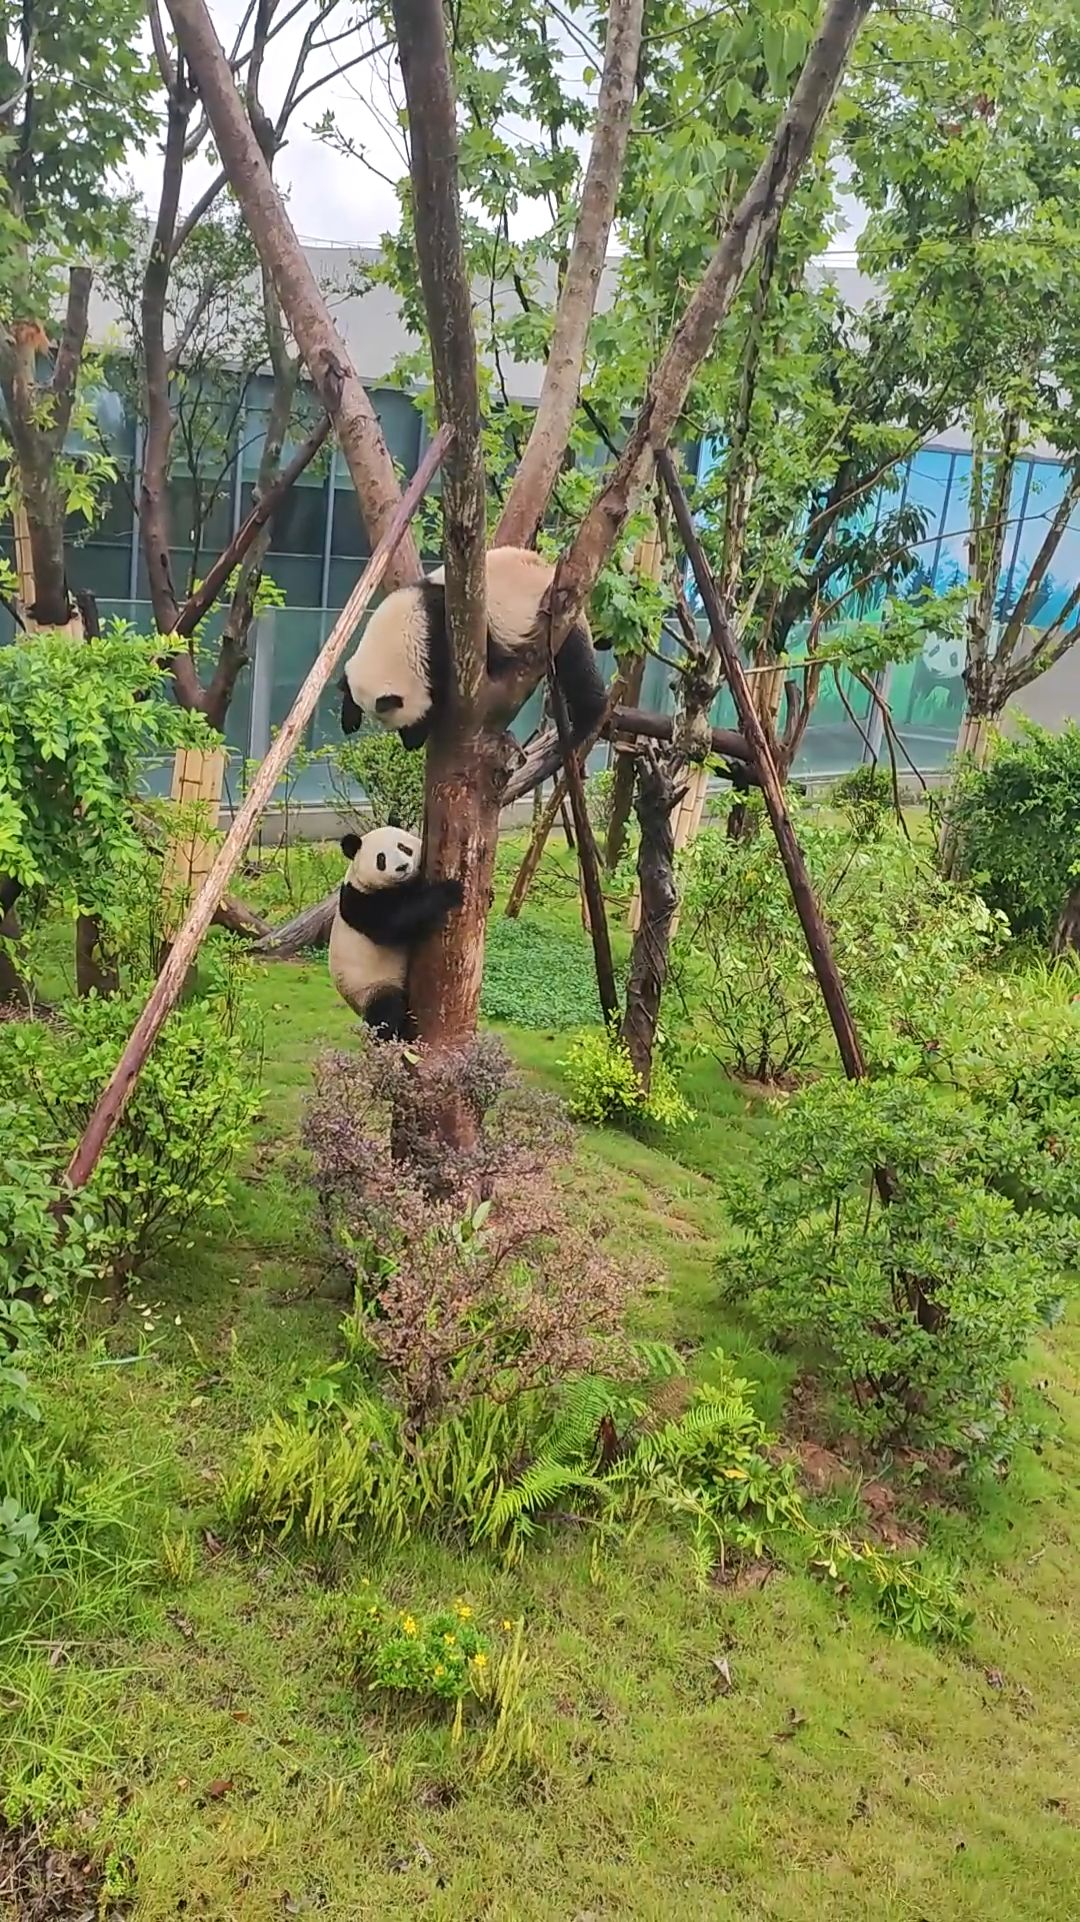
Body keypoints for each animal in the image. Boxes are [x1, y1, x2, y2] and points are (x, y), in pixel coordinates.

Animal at [327, 826, 463, 1040]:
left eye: (404, 847)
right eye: (381, 859)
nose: (402, 867)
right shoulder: (360, 900)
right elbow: (395, 924)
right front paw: (449, 890)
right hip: (370, 986)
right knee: (386, 1009)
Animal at [338, 545, 607, 752]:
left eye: (404, 724)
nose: (410, 744)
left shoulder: (445, 645)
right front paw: (349, 716)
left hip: (556, 621)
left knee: (576, 666)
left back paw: (581, 726)